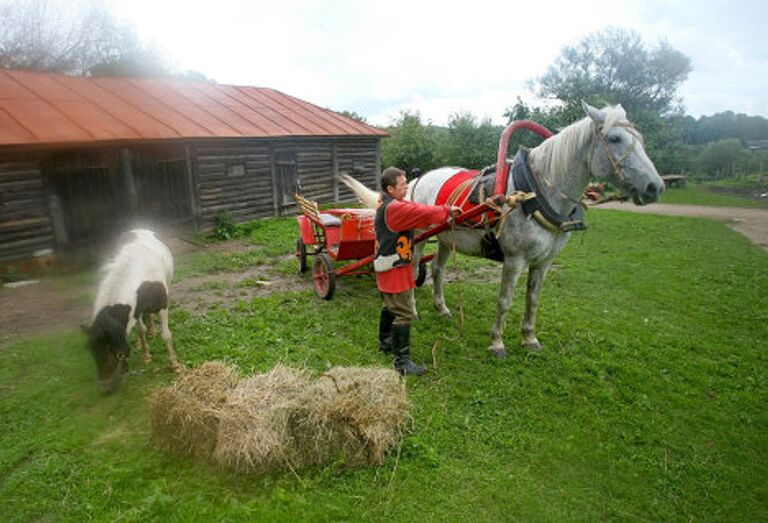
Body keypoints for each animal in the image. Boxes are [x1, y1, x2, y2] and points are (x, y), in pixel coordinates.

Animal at [84, 229, 180, 392]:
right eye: (93, 354)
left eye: (107, 354)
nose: (105, 389)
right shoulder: (136, 310)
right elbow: (141, 330)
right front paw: (146, 355)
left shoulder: (163, 306)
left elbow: (166, 335)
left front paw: (174, 364)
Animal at [340, 101, 664, 360]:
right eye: (615, 138)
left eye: (640, 139)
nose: (655, 187)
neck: (535, 192)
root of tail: (419, 178)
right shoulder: (514, 259)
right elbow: (505, 300)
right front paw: (497, 343)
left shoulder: (544, 262)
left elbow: (533, 299)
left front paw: (530, 338)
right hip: (418, 236)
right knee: (414, 267)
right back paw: (415, 310)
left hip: (446, 239)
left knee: (439, 270)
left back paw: (442, 308)